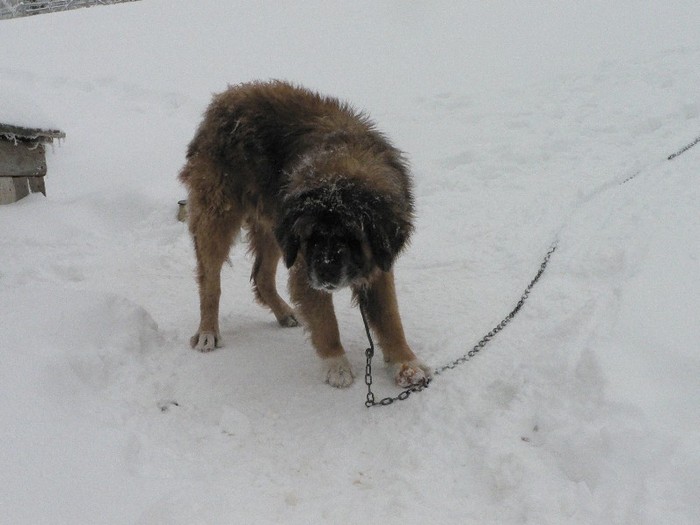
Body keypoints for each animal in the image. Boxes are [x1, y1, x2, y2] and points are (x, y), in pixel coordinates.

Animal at [179, 80, 432, 386]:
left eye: (353, 238)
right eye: (312, 237)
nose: (325, 272)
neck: (340, 168)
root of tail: (224, 98)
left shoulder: (378, 262)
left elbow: (390, 317)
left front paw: (406, 363)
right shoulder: (304, 264)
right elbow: (326, 321)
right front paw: (337, 365)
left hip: (275, 226)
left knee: (262, 276)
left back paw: (283, 312)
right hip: (218, 215)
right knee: (210, 279)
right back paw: (208, 331)